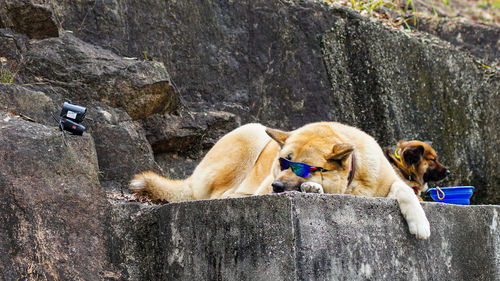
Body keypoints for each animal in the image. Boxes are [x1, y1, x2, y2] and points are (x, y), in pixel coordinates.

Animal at [129, 121, 430, 237]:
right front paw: (313, 188)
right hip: (250, 134)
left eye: (303, 167)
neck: (353, 180)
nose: (276, 186)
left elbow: (406, 191)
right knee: (220, 194)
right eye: (282, 162)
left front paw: (419, 222)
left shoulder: (387, 182)